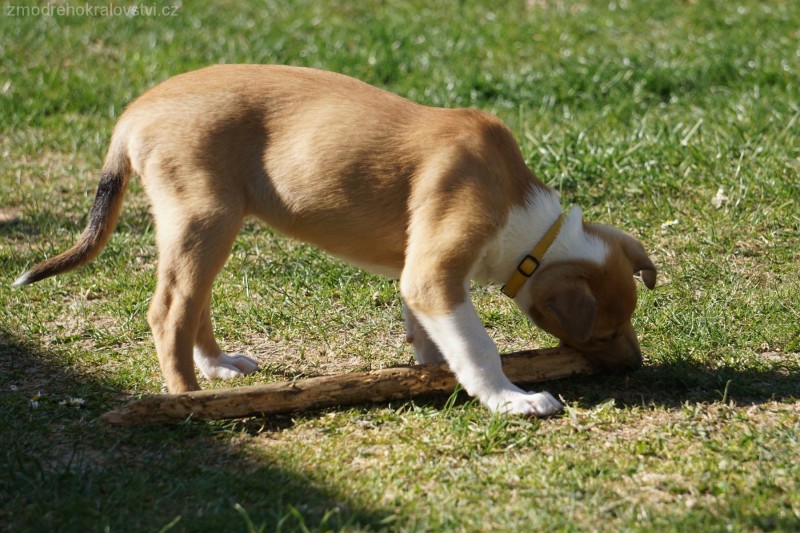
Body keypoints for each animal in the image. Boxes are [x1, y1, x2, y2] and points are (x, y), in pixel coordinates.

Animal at [14, 65, 656, 416]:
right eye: (604, 331)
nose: (636, 366)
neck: (525, 221)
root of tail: (131, 113)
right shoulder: (434, 272)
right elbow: (478, 345)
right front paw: (511, 399)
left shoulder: (417, 271)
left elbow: (431, 332)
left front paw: (429, 367)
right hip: (203, 215)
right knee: (169, 310)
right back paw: (190, 398)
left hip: (212, 224)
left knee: (193, 302)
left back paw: (218, 366)